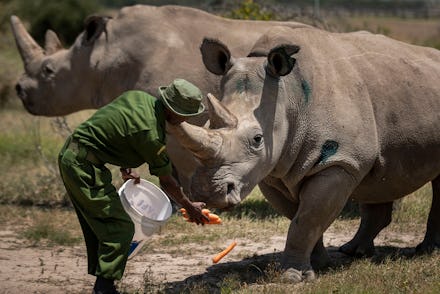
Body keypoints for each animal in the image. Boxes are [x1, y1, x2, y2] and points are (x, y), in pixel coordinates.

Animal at [168, 25, 440, 282]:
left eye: (257, 139)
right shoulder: (273, 171)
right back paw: (354, 252)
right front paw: (317, 265)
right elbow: (301, 218)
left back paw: (425, 251)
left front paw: (292, 277)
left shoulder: (339, 162)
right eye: (207, 125)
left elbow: (307, 219)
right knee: (379, 176)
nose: (207, 192)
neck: (289, 97)